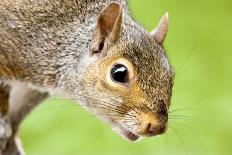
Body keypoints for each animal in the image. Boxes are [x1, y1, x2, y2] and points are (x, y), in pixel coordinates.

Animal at [0, 0, 174, 154]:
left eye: (171, 77)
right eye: (119, 73)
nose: (157, 127)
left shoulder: (33, 90)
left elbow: (17, 113)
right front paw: (3, 126)